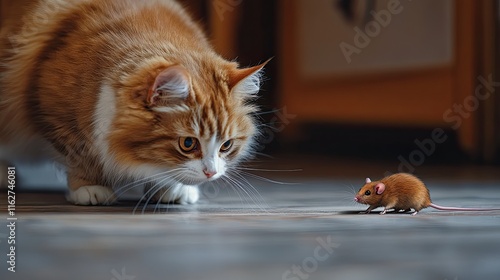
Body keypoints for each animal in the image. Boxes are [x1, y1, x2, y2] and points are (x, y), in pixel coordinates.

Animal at [0, 0, 270, 206]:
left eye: (226, 145)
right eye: (188, 143)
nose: (210, 173)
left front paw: (170, 188)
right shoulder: (50, 108)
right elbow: (79, 154)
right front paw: (90, 187)